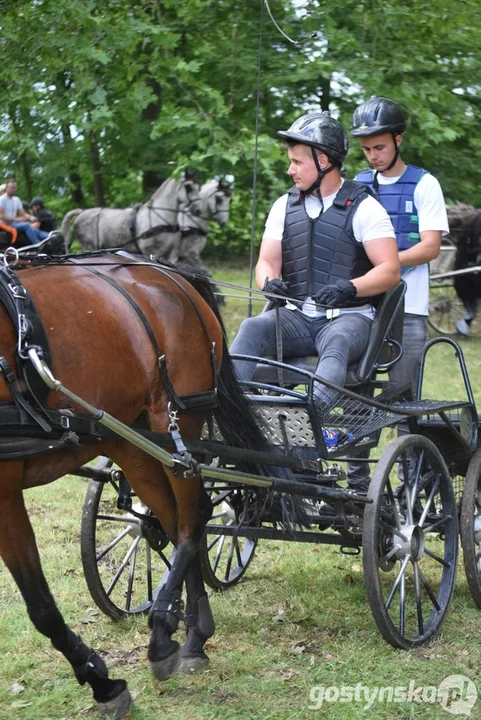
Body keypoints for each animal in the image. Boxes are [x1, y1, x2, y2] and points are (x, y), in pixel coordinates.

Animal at [0, 253, 270, 716]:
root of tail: (170, 272)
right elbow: (39, 603)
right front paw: (99, 678)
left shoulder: (3, 488)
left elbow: (40, 604)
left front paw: (103, 683)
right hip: (130, 439)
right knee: (173, 521)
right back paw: (194, 635)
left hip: (176, 422)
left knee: (193, 518)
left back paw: (164, 631)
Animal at [61, 173, 201, 255]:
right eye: (188, 187)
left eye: (198, 187)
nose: (198, 210)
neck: (160, 218)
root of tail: (82, 212)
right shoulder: (150, 252)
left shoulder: (172, 254)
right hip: (90, 247)